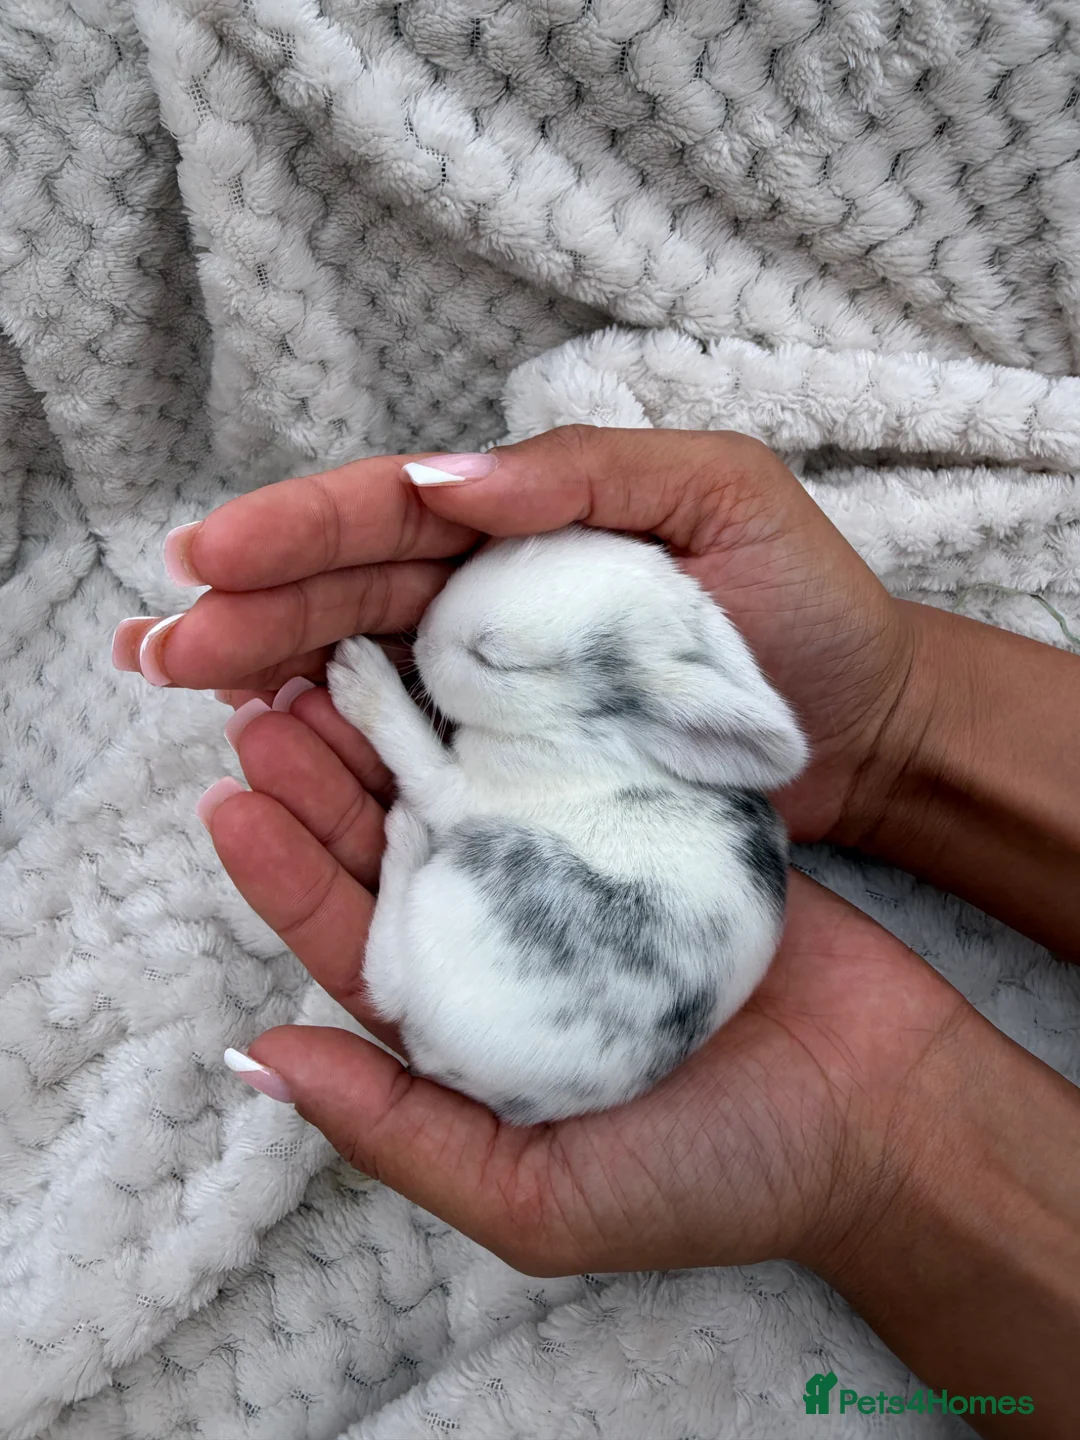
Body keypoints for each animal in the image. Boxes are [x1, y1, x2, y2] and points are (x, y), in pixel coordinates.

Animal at [325, 524, 809, 1126]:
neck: (584, 732)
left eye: (495, 660)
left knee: (386, 979)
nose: (422, 637)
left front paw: (358, 674)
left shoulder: (472, 787)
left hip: (479, 866)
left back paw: (405, 835)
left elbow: (417, 757)